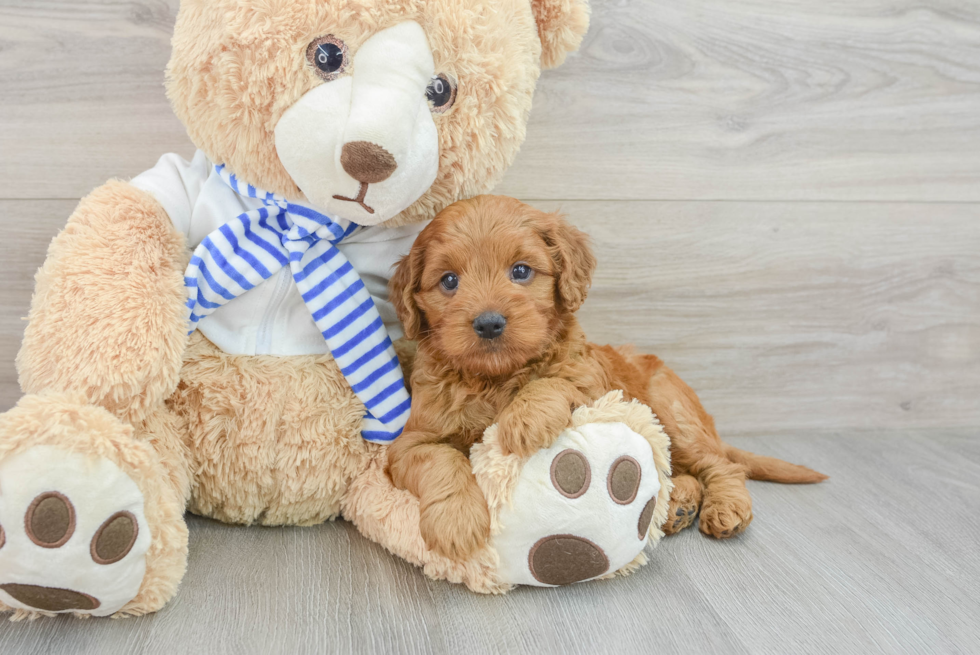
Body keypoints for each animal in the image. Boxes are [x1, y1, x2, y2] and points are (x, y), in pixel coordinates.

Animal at [384, 193, 828, 560]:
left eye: (521, 271)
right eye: (449, 280)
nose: (489, 323)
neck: (496, 378)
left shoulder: (598, 390)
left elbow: (555, 382)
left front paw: (523, 418)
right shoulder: (410, 442)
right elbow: (439, 460)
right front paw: (456, 521)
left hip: (673, 411)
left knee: (720, 465)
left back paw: (725, 507)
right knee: (676, 469)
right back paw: (679, 504)